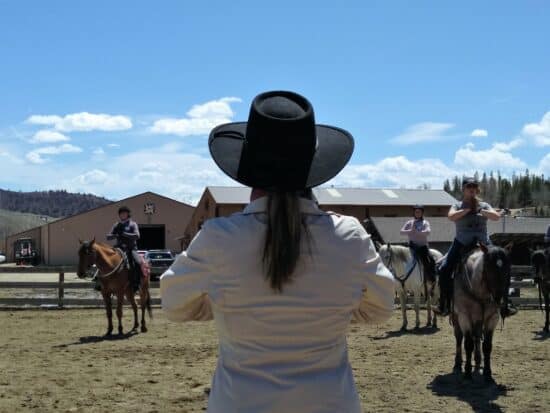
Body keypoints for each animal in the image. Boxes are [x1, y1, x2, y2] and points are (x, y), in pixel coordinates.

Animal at [454, 243, 516, 382]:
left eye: (507, 267)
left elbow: (487, 346)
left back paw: (477, 360)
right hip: (456, 317)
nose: (500, 299)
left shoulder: (492, 318)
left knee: (477, 337)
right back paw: (458, 363)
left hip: (478, 320)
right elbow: (468, 344)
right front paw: (467, 373)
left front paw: (488, 373)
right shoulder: (464, 316)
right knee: (459, 337)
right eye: (488, 267)